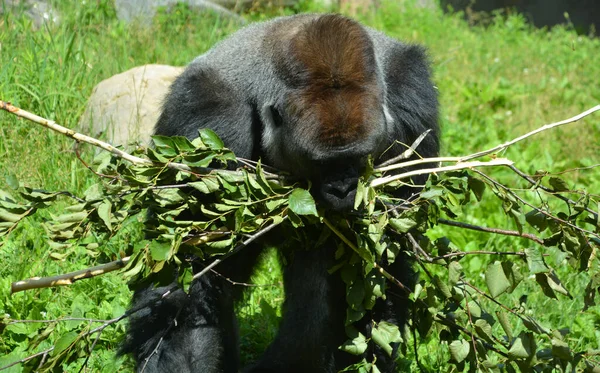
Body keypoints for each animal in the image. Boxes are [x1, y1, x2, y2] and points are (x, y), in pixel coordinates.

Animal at [120, 13, 440, 372]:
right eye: (321, 164)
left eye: (358, 158)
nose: (343, 189)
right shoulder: (208, 118)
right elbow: (194, 271)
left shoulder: (409, 101)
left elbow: (382, 255)